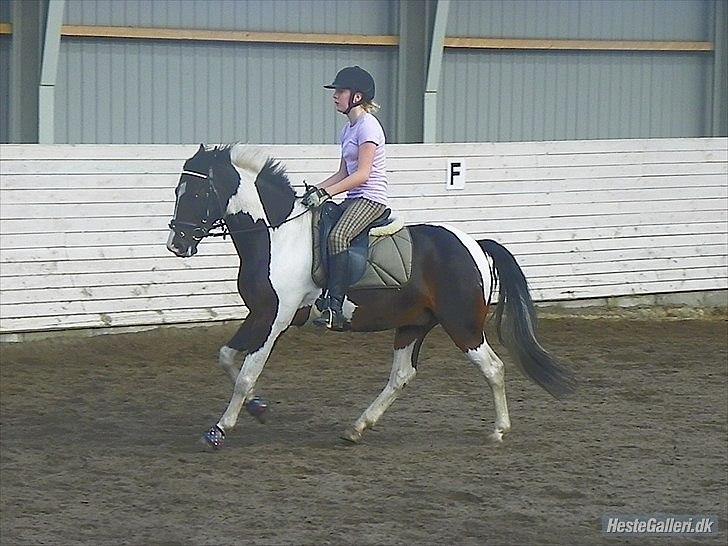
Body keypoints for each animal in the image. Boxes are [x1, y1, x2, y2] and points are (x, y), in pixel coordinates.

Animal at [165, 142, 576, 448]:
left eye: (199, 192)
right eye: (177, 190)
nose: (177, 244)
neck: (276, 236)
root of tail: (473, 244)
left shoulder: (273, 318)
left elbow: (246, 374)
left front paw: (219, 430)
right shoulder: (260, 315)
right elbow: (226, 359)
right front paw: (258, 408)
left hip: (462, 326)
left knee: (493, 368)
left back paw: (498, 431)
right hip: (413, 324)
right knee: (402, 375)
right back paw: (358, 427)